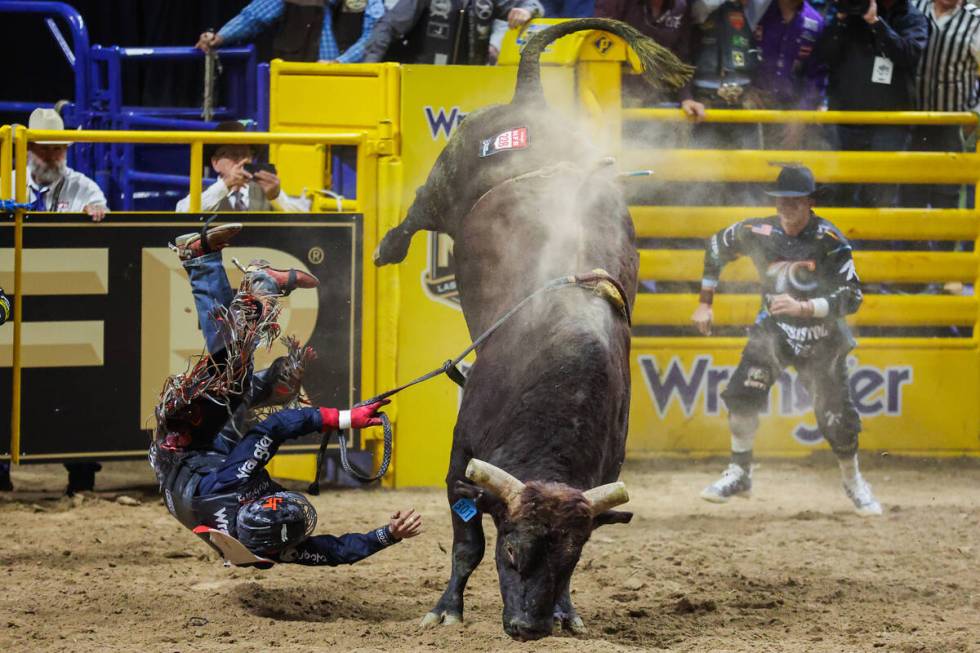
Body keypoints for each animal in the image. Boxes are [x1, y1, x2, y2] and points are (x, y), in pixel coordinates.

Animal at [374, 17, 688, 640]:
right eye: (513, 550)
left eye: (571, 557)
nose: (527, 626)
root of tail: (532, 101)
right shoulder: (460, 461)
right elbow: (466, 544)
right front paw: (446, 608)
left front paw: (568, 612)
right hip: (447, 178)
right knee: (420, 209)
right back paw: (387, 246)